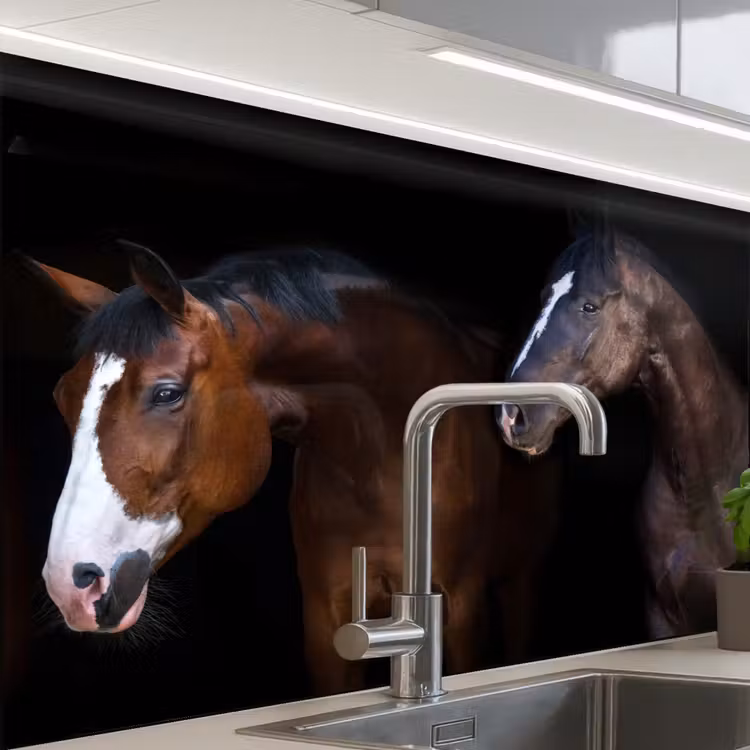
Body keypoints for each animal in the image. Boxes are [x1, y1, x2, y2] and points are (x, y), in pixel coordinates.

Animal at [22, 241, 557, 695]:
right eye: (62, 397)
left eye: (167, 392)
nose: (70, 583)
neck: (385, 458)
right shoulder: (327, 617)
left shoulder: (462, 608)